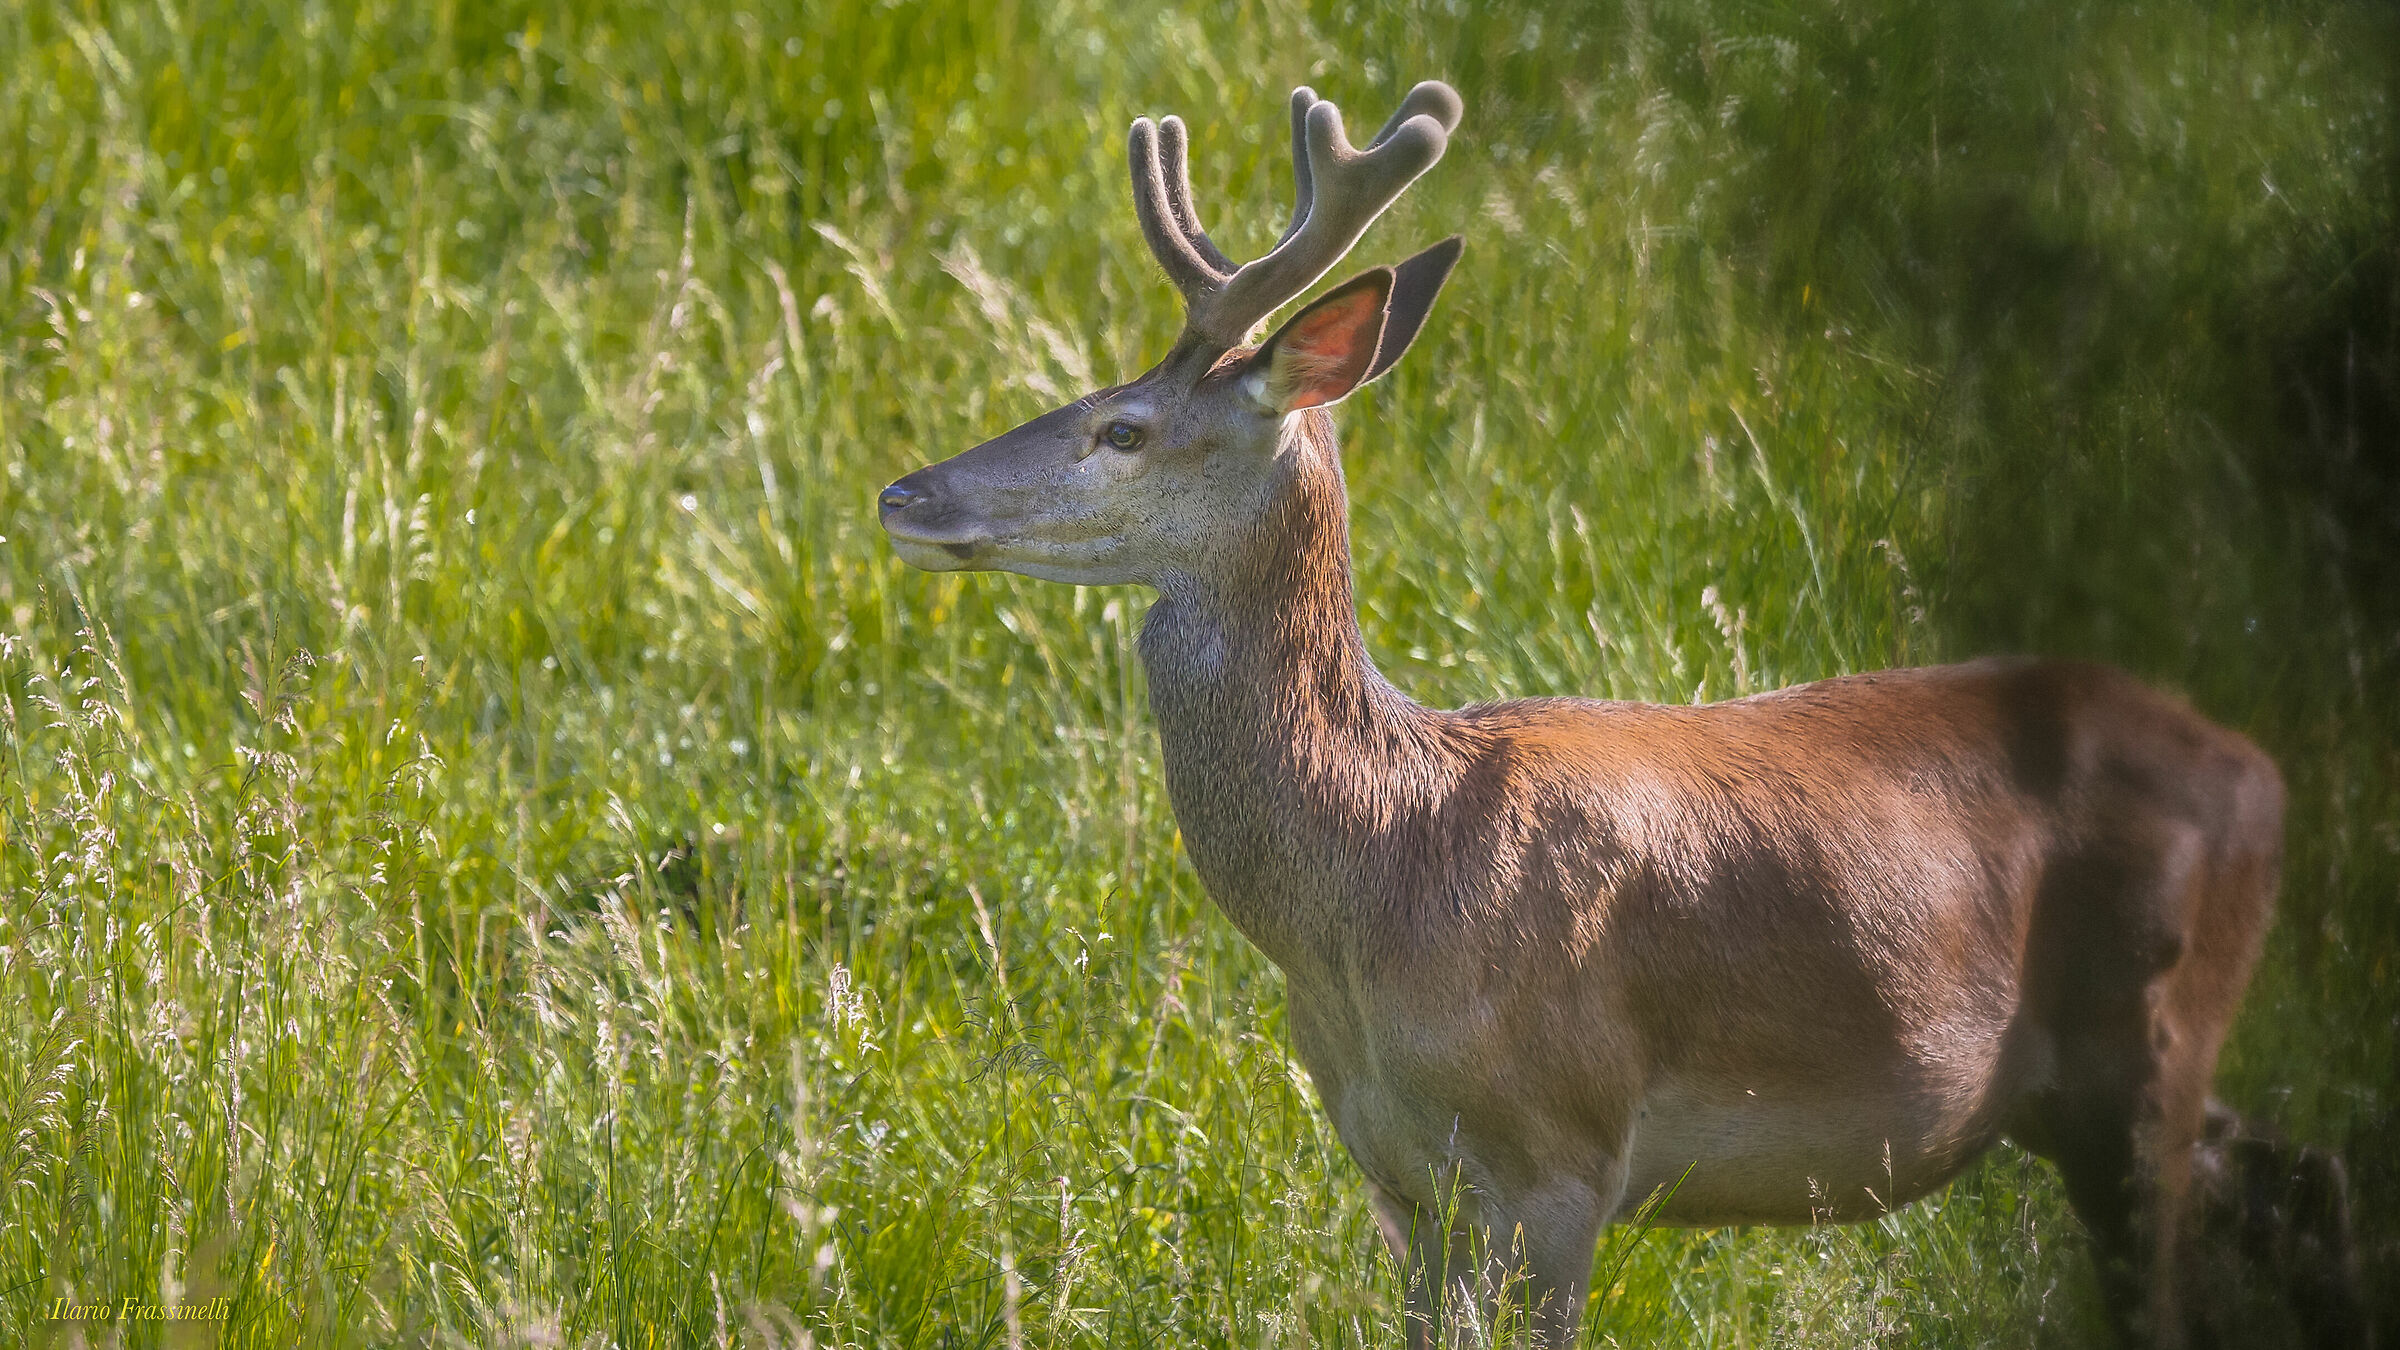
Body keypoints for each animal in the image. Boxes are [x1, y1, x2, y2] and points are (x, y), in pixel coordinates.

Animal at [876, 80, 2359, 1348]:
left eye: (1122, 428)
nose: (904, 492)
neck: (1376, 876)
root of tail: (2260, 769)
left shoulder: (1561, 1152)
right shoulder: (1403, 1178)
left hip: (2143, 1038)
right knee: (2301, 1173)